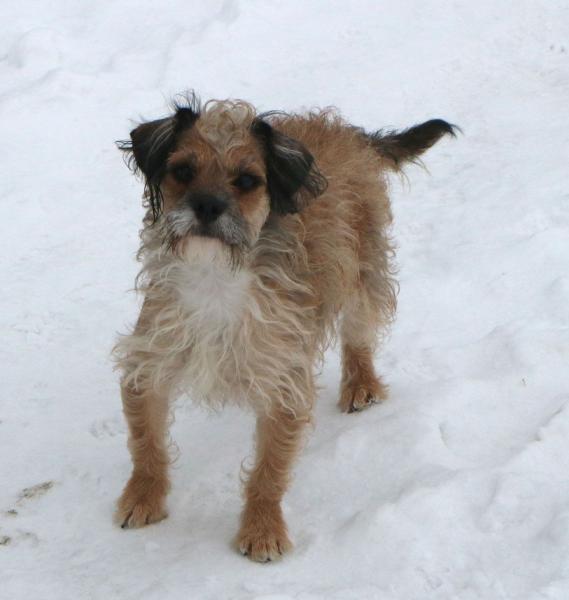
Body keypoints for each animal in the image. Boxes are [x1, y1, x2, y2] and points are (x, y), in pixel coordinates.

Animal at [114, 94, 455, 562]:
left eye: (246, 180)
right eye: (182, 170)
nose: (207, 206)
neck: (216, 276)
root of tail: (349, 134)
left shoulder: (282, 381)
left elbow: (268, 468)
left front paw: (262, 528)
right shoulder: (149, 361)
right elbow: (146, 441)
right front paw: (143, 496)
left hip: (361, 272)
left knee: (359, 333)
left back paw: (361, 384)